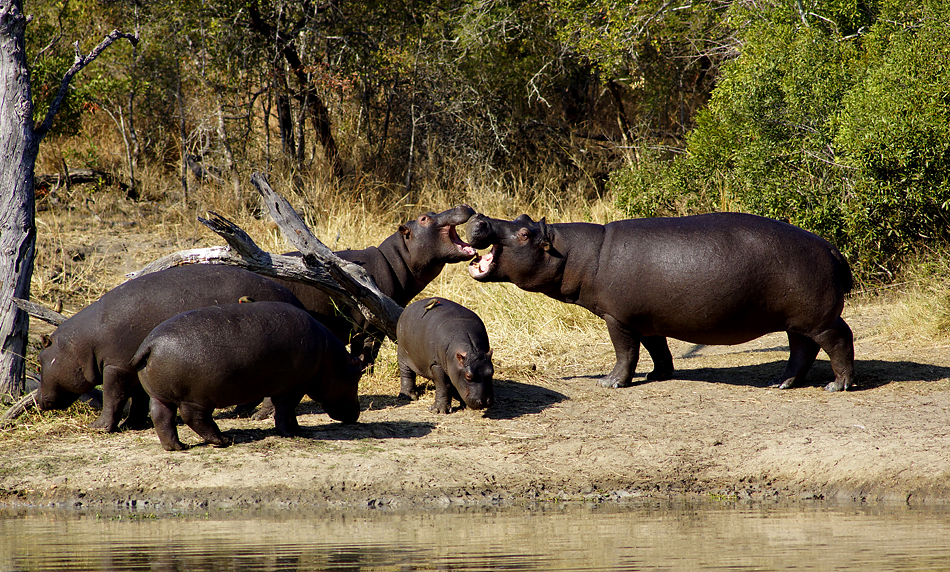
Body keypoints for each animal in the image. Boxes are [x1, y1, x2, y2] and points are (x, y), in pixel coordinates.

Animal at [36, 264, 304, 428]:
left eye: (39, 361)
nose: (37, 400)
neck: (81, 344)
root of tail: (295, 300)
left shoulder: (117, 367)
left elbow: (115, 397)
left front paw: (100, 427)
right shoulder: (138, 367)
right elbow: (140, 399)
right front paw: (132, 425)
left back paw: (260, 415)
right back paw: (242, 411)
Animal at [130, 300, 360, 452]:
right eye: (357, 376)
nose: (356, 415)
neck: (330, 357)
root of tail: (150, 344)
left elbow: (287, 411)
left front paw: (298, 429)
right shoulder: (295, 386)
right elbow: (285, 411)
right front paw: (292, 433)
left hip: (160, 396)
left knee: (161, 417)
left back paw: (178, 447)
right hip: (195, 399)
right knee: (194, 418)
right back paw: (224, 440)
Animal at [466, 212, 856, 392]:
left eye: (523, 232)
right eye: (522, 218)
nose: (480, 218)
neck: (574, 254)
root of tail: (832, 248)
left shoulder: (617, 318)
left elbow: (626, 352)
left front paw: (610, 383)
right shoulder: (646, 319)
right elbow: (658, 349)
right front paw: (659, 375)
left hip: (818, 318)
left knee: (839, 340)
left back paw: (837, 386)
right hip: (798, 320)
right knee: (802, 349)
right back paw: (781, 383)